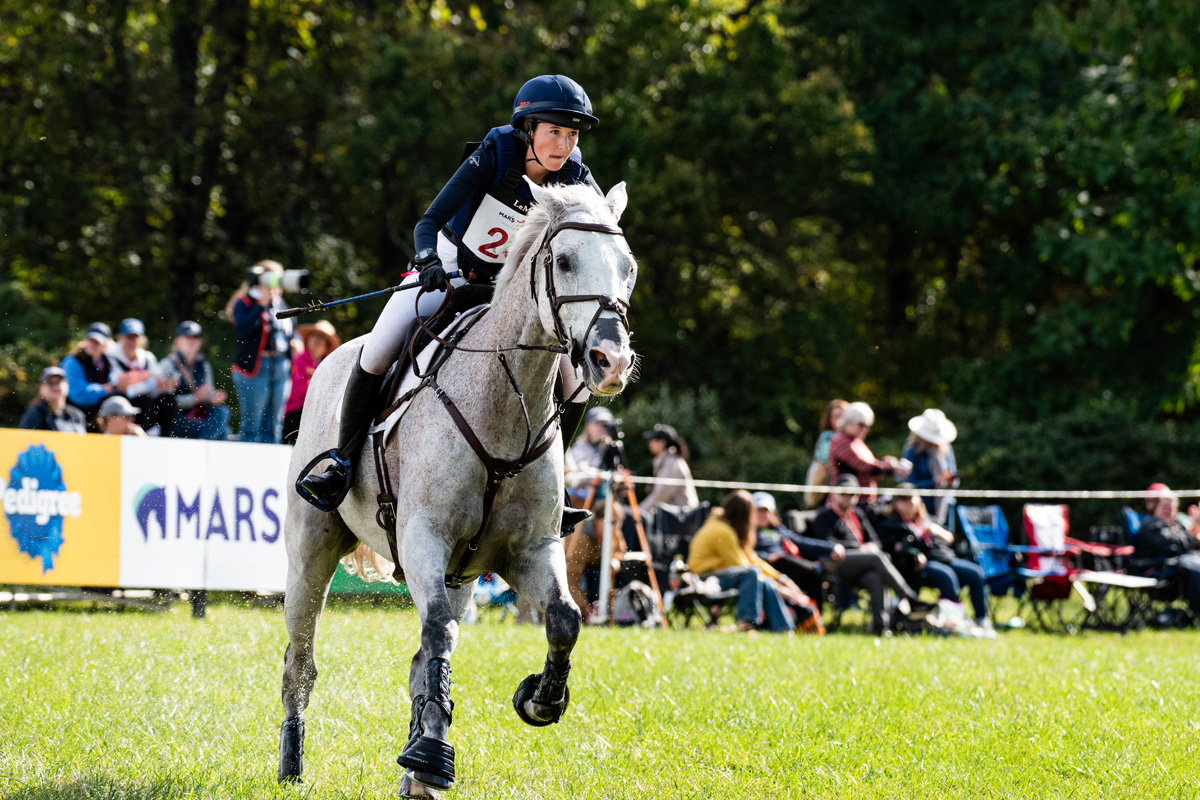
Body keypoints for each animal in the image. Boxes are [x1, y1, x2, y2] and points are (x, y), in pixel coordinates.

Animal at [277, 180, 637, 798]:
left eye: (628, 268)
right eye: (565, 261)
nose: (610, 361)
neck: (505, 403)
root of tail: (331, 358)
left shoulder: (529, 550)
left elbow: (564, 619)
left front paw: (540, 700)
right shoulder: (424, 537)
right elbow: (440, 632)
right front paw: (434, 754)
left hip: (462, 575)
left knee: (421, 653)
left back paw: (414, 772)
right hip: (311, 552)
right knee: (302, 660)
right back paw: (294, 765)